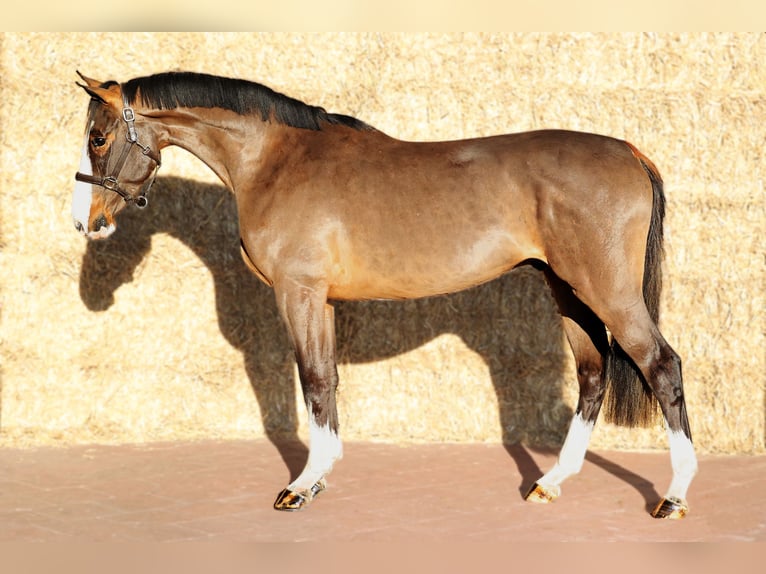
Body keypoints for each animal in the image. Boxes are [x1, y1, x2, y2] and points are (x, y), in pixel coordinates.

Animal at [72, 71, 697, 519]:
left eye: (98, 138)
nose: (87, 223)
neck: (277, 160)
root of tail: (629, 152)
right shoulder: (320, 300)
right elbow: (326, 381)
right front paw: (319, 478)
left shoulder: (298, 294)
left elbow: (313, 381)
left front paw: (300, 486)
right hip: (568, 291)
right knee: (593, 375)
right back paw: (550, 483)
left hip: (605, 290)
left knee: (661, 365)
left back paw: (673, 497)